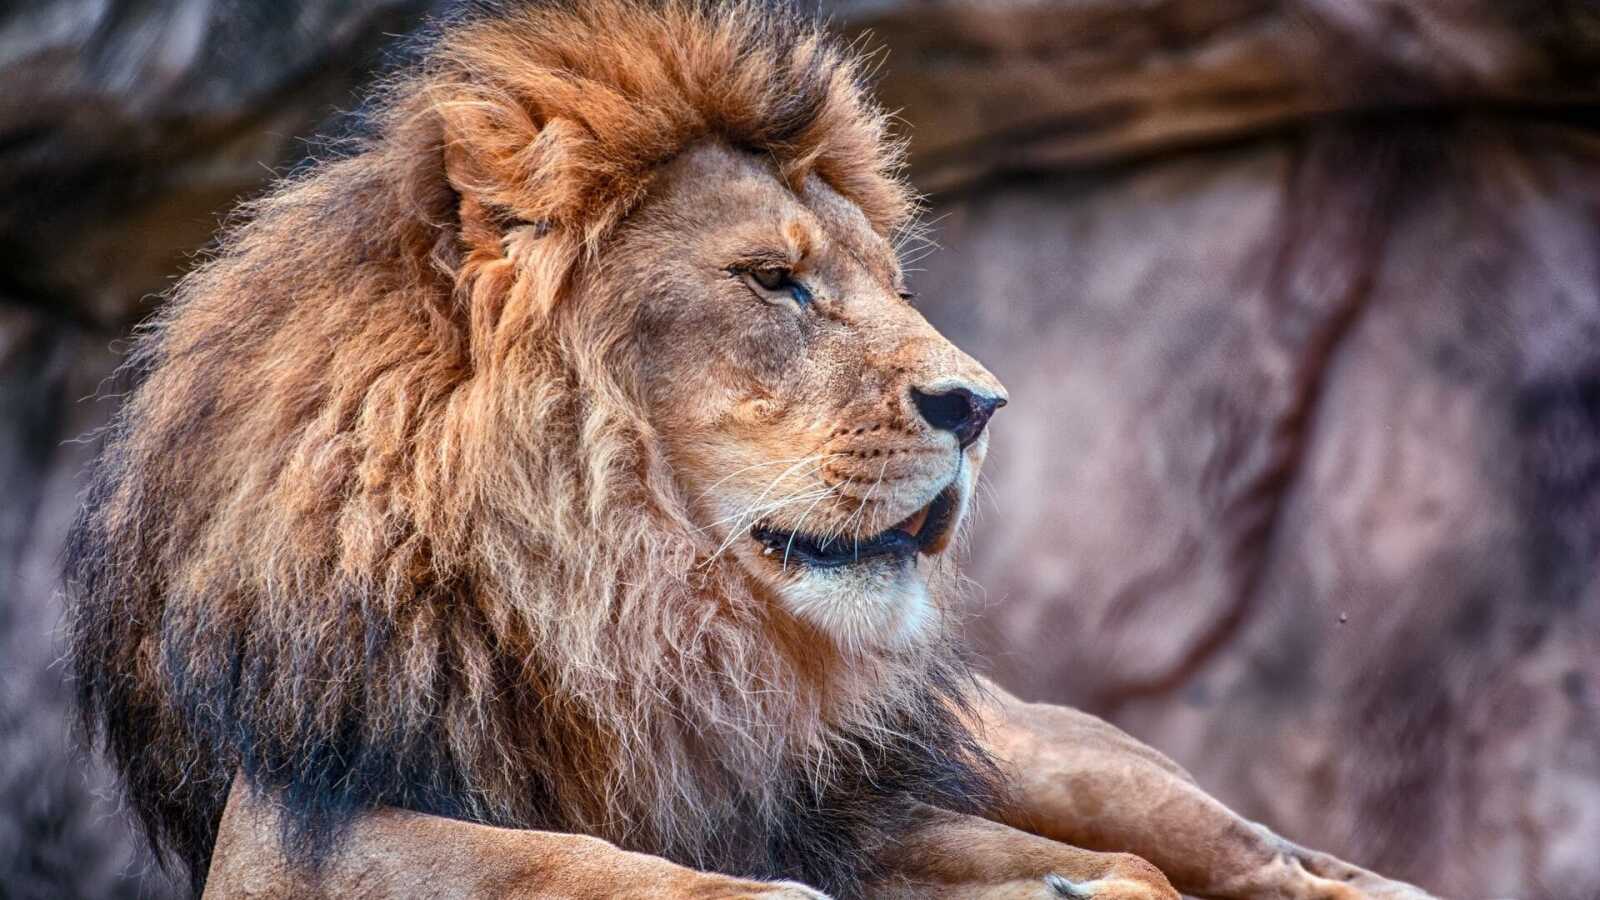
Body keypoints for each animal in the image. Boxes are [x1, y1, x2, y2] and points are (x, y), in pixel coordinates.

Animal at [66, 2, 1442, 898]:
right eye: (775, 282)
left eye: (890, 286)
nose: (981, 406)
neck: (622, 611)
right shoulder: (297, 809)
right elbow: (536, 859)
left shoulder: (844, 802)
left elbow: (1085, 866)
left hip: (1053, 754)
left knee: (1281, 863)